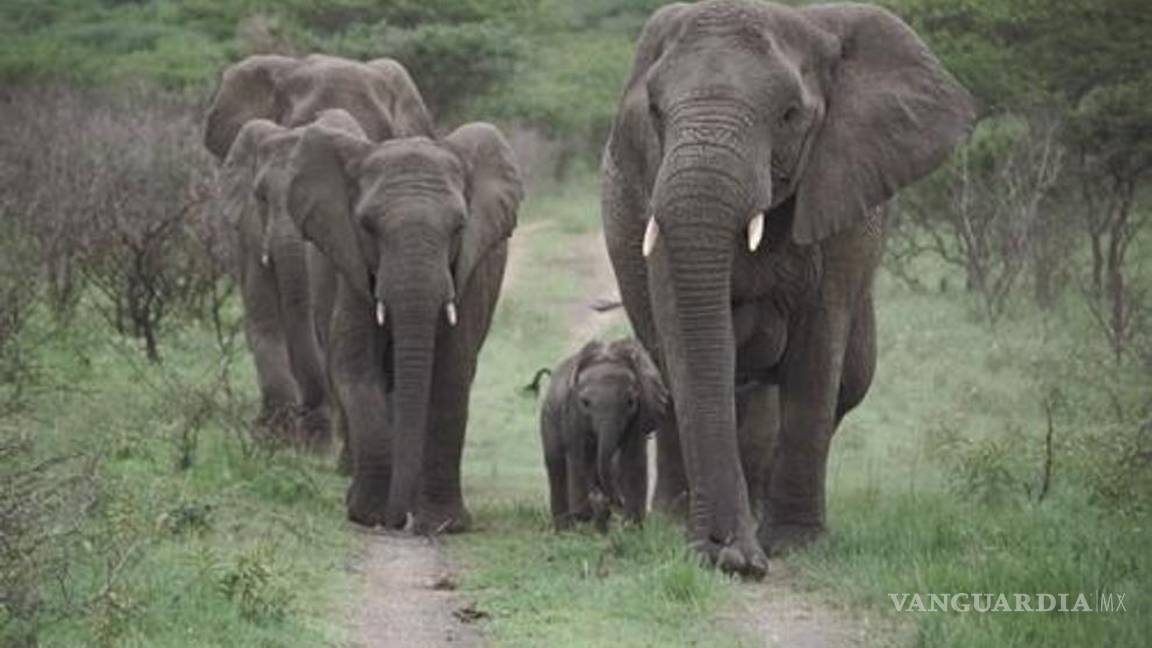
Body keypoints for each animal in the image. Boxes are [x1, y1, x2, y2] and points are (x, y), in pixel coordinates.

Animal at [203, 54, 434, 455]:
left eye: (377, 137)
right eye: (261, 196)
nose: (308, 415)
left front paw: (315, 438)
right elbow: (263, 310)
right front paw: (276, 436)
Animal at [274, 110, 524, 531]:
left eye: (459, 227)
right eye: (367, 226)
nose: (400, 518)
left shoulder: (466, 277)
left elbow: (450, 374)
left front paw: (443, 524)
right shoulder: (354, 273)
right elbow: (356, 370)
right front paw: (369, 515)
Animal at [536, 338, 668, 531]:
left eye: (631, 402)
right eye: (585, 403)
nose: (616, 502)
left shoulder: (639, 413)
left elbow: (633, 458)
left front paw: (633, 527)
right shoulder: (572, 412)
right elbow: (578, 456)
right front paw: (584, 516)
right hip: (548, 418)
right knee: (557, 463)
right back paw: (565, 529)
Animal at [601, 0, 975, 577]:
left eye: (789, 115)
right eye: (657, 113)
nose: (727, 552)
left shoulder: (844, 198)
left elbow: (817, 354)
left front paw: (793, 545)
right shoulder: (654, 207)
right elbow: (686, 343)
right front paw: (721, 550)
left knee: (850, 376)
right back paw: (673, 519)